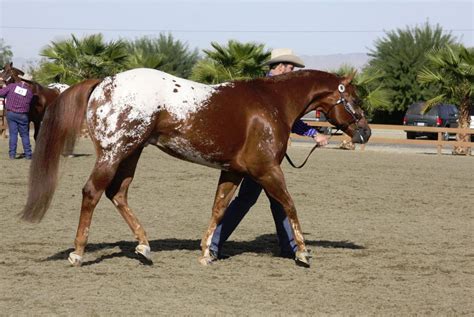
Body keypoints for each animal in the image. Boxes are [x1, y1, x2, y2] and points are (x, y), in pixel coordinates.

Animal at [21, 67, 370, 266]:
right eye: (354, 99)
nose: (365, 132)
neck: (271, 103)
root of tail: (105, 81)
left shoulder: (233, 171)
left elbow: (219, 209)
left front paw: (205, 252)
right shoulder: (267, 170)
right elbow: (289, 205)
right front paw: (302, 252)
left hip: (132, 153)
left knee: (117, 194)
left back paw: (144, 247)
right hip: (114, 152)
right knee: (92, 192)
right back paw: (78, 252)